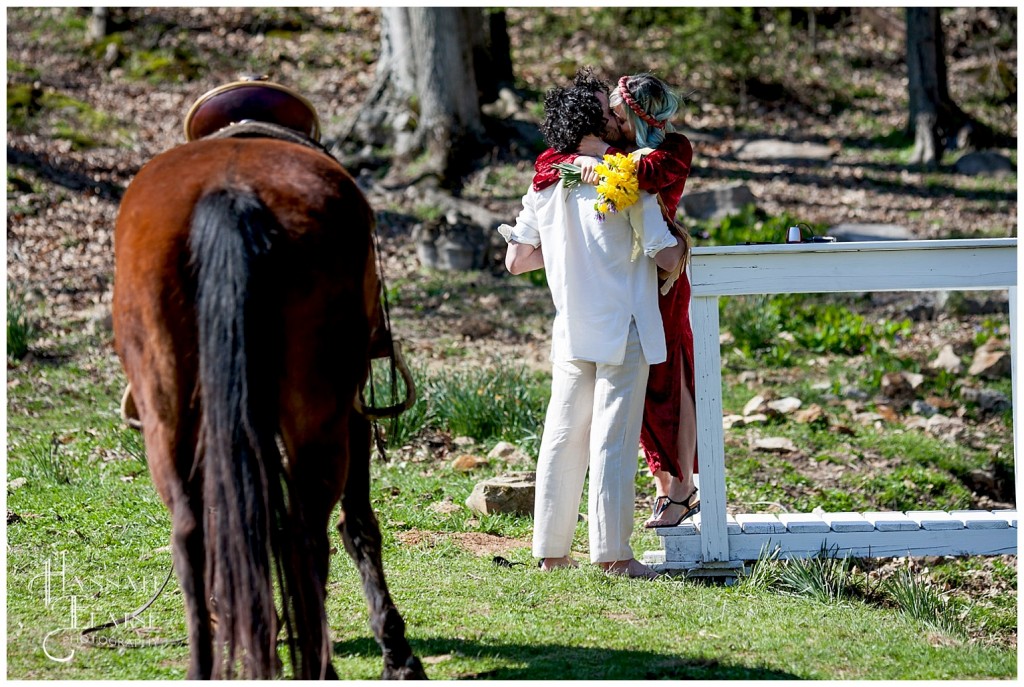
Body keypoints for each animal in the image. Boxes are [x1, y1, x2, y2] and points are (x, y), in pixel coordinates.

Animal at [114, 134, 425, 683]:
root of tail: (230, 191)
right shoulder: (352, 410)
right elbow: (359, 523)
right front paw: (396, 650)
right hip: (319, 416)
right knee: (306, 533)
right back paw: (318, 665)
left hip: (168, 413)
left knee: (193, 534)